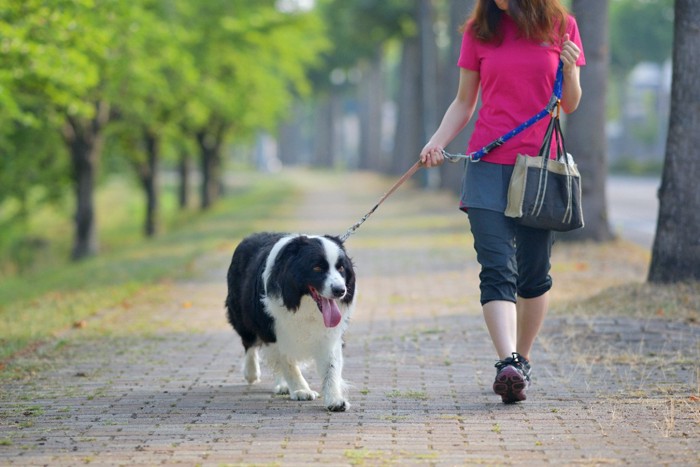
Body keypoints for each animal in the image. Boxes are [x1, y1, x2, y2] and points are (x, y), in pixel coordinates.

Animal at [224, 232, 356, 412]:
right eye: (317, 268)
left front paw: (335, 400)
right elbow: (288, 362)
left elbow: (331, 366)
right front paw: (301, 390)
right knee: (249, 342)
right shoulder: (273, 330)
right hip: (241, 313)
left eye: (341, 268)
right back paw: (252, 372)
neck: (303, 303)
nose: (340, 290)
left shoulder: (328, 334)